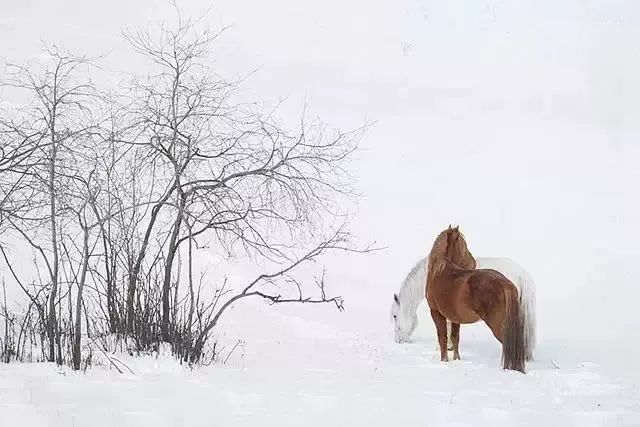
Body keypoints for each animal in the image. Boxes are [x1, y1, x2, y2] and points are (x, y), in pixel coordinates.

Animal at [424, 227, 524, 374]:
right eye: (463, 244)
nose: (473, 262)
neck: (439, 272)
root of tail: (505, 283)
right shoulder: (455, 318)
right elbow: (455, 338)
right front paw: (457, 359)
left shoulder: (436, 313)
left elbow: (443, 338)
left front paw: (444, 361)